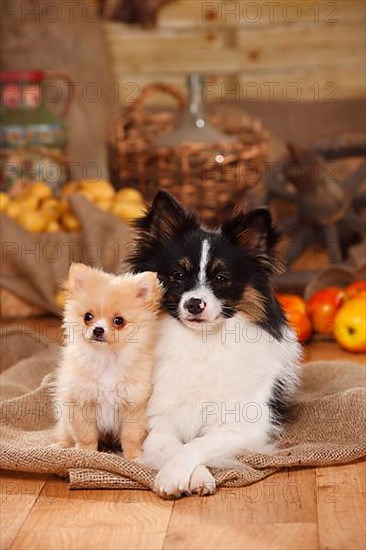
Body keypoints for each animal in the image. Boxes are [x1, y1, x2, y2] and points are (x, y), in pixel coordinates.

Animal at [52, 264, 161, 462]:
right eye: (88, 317)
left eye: (119, 321)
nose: (98, 330)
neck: (107, 359)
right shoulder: (80, 402)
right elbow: (86, 436)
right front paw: (86, 454)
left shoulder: (134, 405)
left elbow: (131, 436)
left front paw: (134, 457)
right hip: (64, 418)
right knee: (65, 434)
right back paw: (60, 446)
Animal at [129, 192, 300, 502]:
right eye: (177, 275)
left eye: (221, 279)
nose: (194, 304)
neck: (203, 342)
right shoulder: (158, 421)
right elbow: (173, 446)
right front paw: (190, 477)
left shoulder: (243, 426)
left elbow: (197, 444)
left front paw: (176, 475)